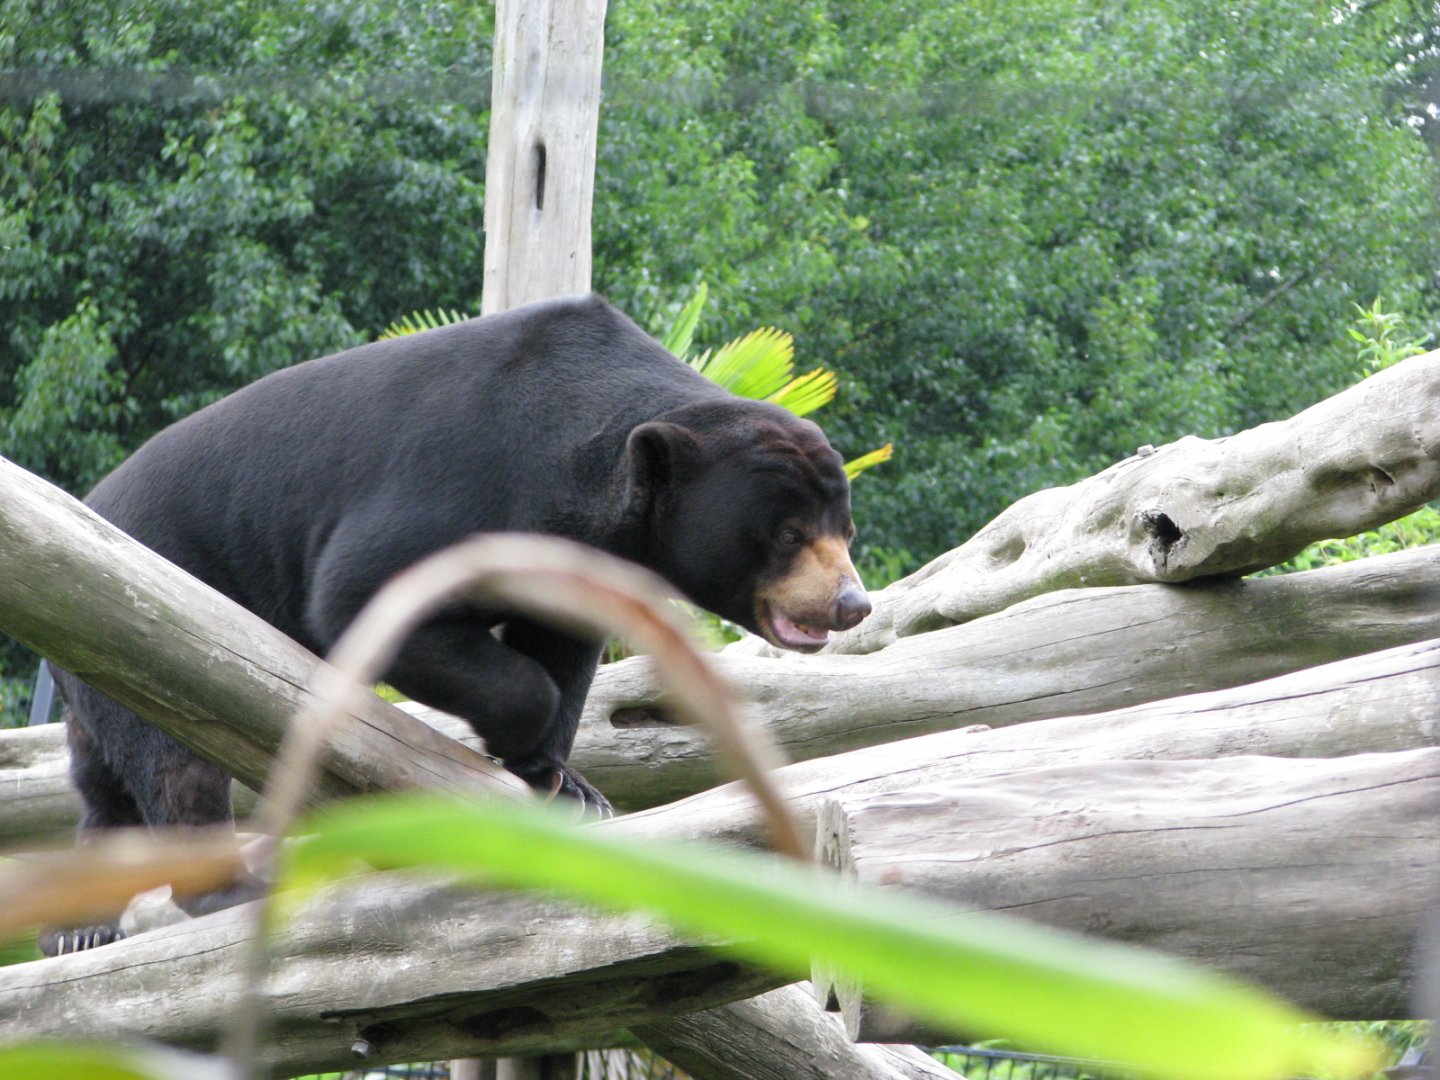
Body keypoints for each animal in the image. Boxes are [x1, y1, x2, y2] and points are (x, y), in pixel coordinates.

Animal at [42, 293, 870, 954]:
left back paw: (77, 923)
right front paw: (521, 744)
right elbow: (365, 596)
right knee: (172, 759)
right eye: (788, 533)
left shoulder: (580, 552)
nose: (851, 604)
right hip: (142, 606)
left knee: (105, 776)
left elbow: (561, 647)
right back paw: (224, 887)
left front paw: (566, 783)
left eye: (845, 528)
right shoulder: (463, 480)